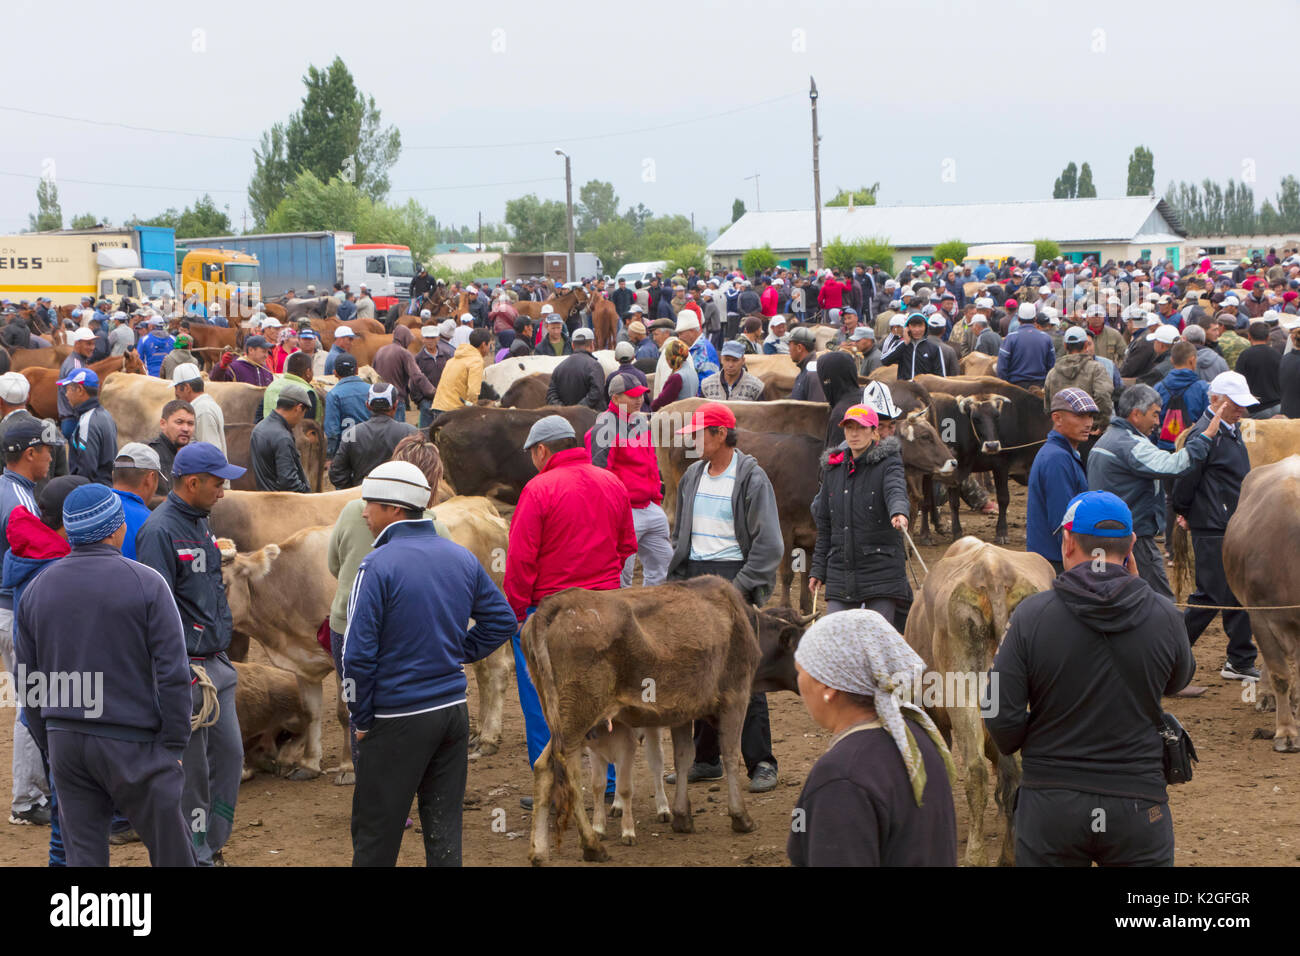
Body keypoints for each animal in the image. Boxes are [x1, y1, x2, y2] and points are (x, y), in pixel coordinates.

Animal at [520, 574, 806, 868]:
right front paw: (740, 817)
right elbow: (729, 755)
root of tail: (555, 604)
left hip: (560, 720)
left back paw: (539, 850)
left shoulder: (682, 711)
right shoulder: (735, 699)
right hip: (577, 719)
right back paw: (591, 845)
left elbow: (682, 758)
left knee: (544, 767)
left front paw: (681, 816)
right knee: (570, 774)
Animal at [904, 538, 1055, 868]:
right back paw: (1009, 855)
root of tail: (994, 571)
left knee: (975, 771)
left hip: (962, 695)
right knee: (1016, 772)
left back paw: (975, 855)